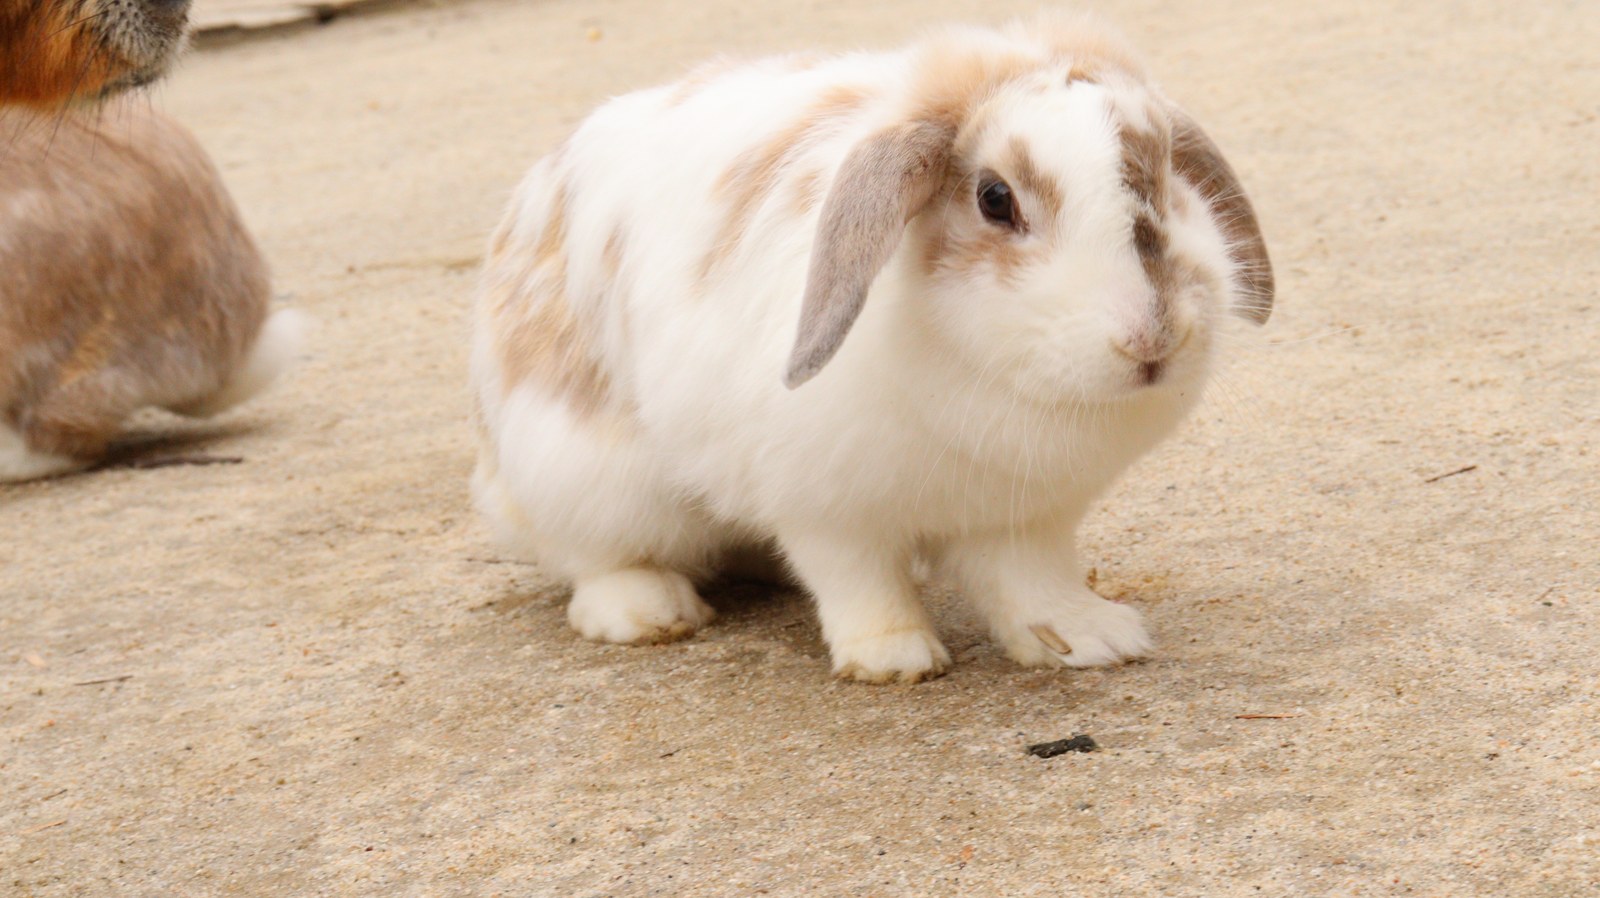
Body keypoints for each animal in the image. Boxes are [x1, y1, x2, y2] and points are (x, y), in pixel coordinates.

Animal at [471, 13, 1273, 683]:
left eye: (1168, 177)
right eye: (994, 198)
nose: (1152, 338)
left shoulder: (1025, 517)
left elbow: (1034, 582)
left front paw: (1091, 638)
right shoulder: (823, 508)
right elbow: (856, 579)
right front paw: (894, 658)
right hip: (582, 474)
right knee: (590, 556)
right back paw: (648, 610)